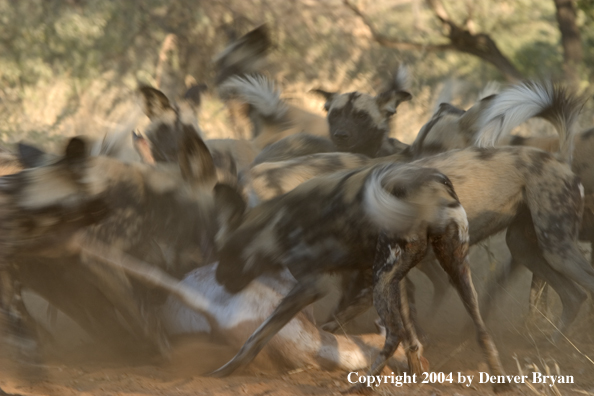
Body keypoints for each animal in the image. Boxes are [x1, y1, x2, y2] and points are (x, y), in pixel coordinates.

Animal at [207, 162, 504, 392]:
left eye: (225, 254)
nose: (219, 280)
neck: (272, 225)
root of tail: (431, 184)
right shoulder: (392, 283)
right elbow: (410, 339)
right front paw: (416, 373)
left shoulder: (315, 286)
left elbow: (259, 334)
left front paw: (226, 369)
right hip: (453, 271)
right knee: (481, 330)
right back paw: (500, 382)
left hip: (382, 280)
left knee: (394, 334)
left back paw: (362, 386)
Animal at [244, 81, 588, 338]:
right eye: (416, 144)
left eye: (434, 147)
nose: (407, 167)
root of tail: (559, 159)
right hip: (527, 247)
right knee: (574, 296)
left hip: (554, 249)